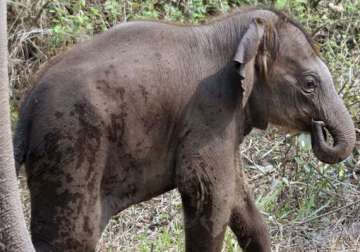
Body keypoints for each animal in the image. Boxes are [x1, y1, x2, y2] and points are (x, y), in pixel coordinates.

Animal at [13, 6, 354, 251]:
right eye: (309, 84)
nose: (318, 127)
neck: (228, 30)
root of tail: (27, 104)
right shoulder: (209, 110)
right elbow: (209, 193)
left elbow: (237, 196)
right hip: (71, 144)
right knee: (72, 235)